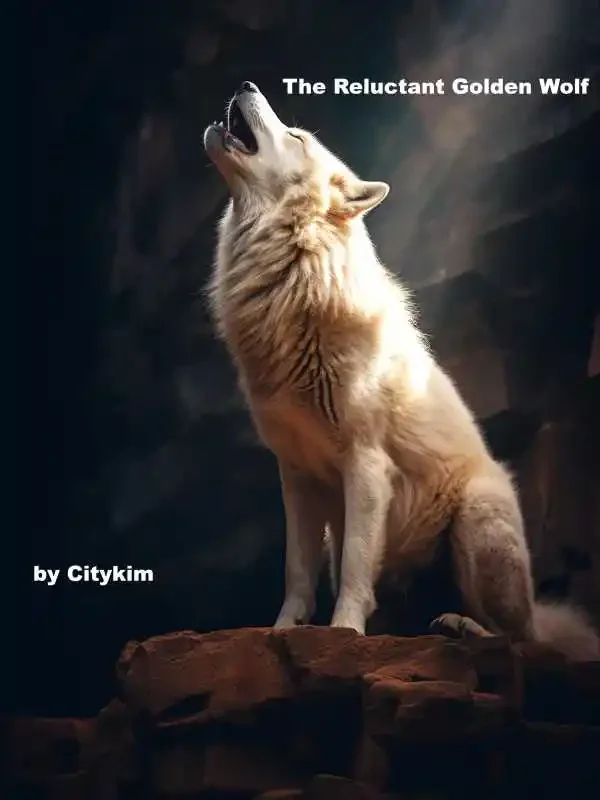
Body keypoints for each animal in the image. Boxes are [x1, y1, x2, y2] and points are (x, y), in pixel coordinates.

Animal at [203, 81, 600, 661]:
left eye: (296, 136)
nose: (247, 84)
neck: (295, 281)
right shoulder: (296, 475)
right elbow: (296, 573)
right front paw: (279, 633)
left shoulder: (366, 464)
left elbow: (353, 569)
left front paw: (344, 633)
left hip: (478, 519)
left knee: (521, 639)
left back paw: (464, 628)